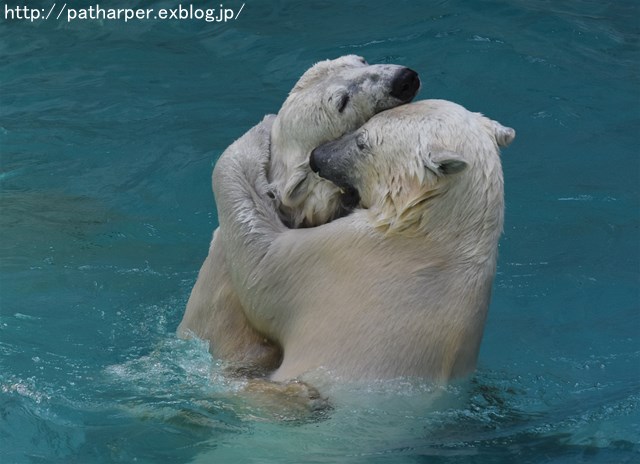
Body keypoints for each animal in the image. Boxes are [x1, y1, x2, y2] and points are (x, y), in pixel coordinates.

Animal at [214, 99, 516, 382]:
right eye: (364, 123)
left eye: (362, 141)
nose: (317, 157)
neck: (434, 232)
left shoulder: (341, 257)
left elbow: (260, 266)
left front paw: (258, 132)